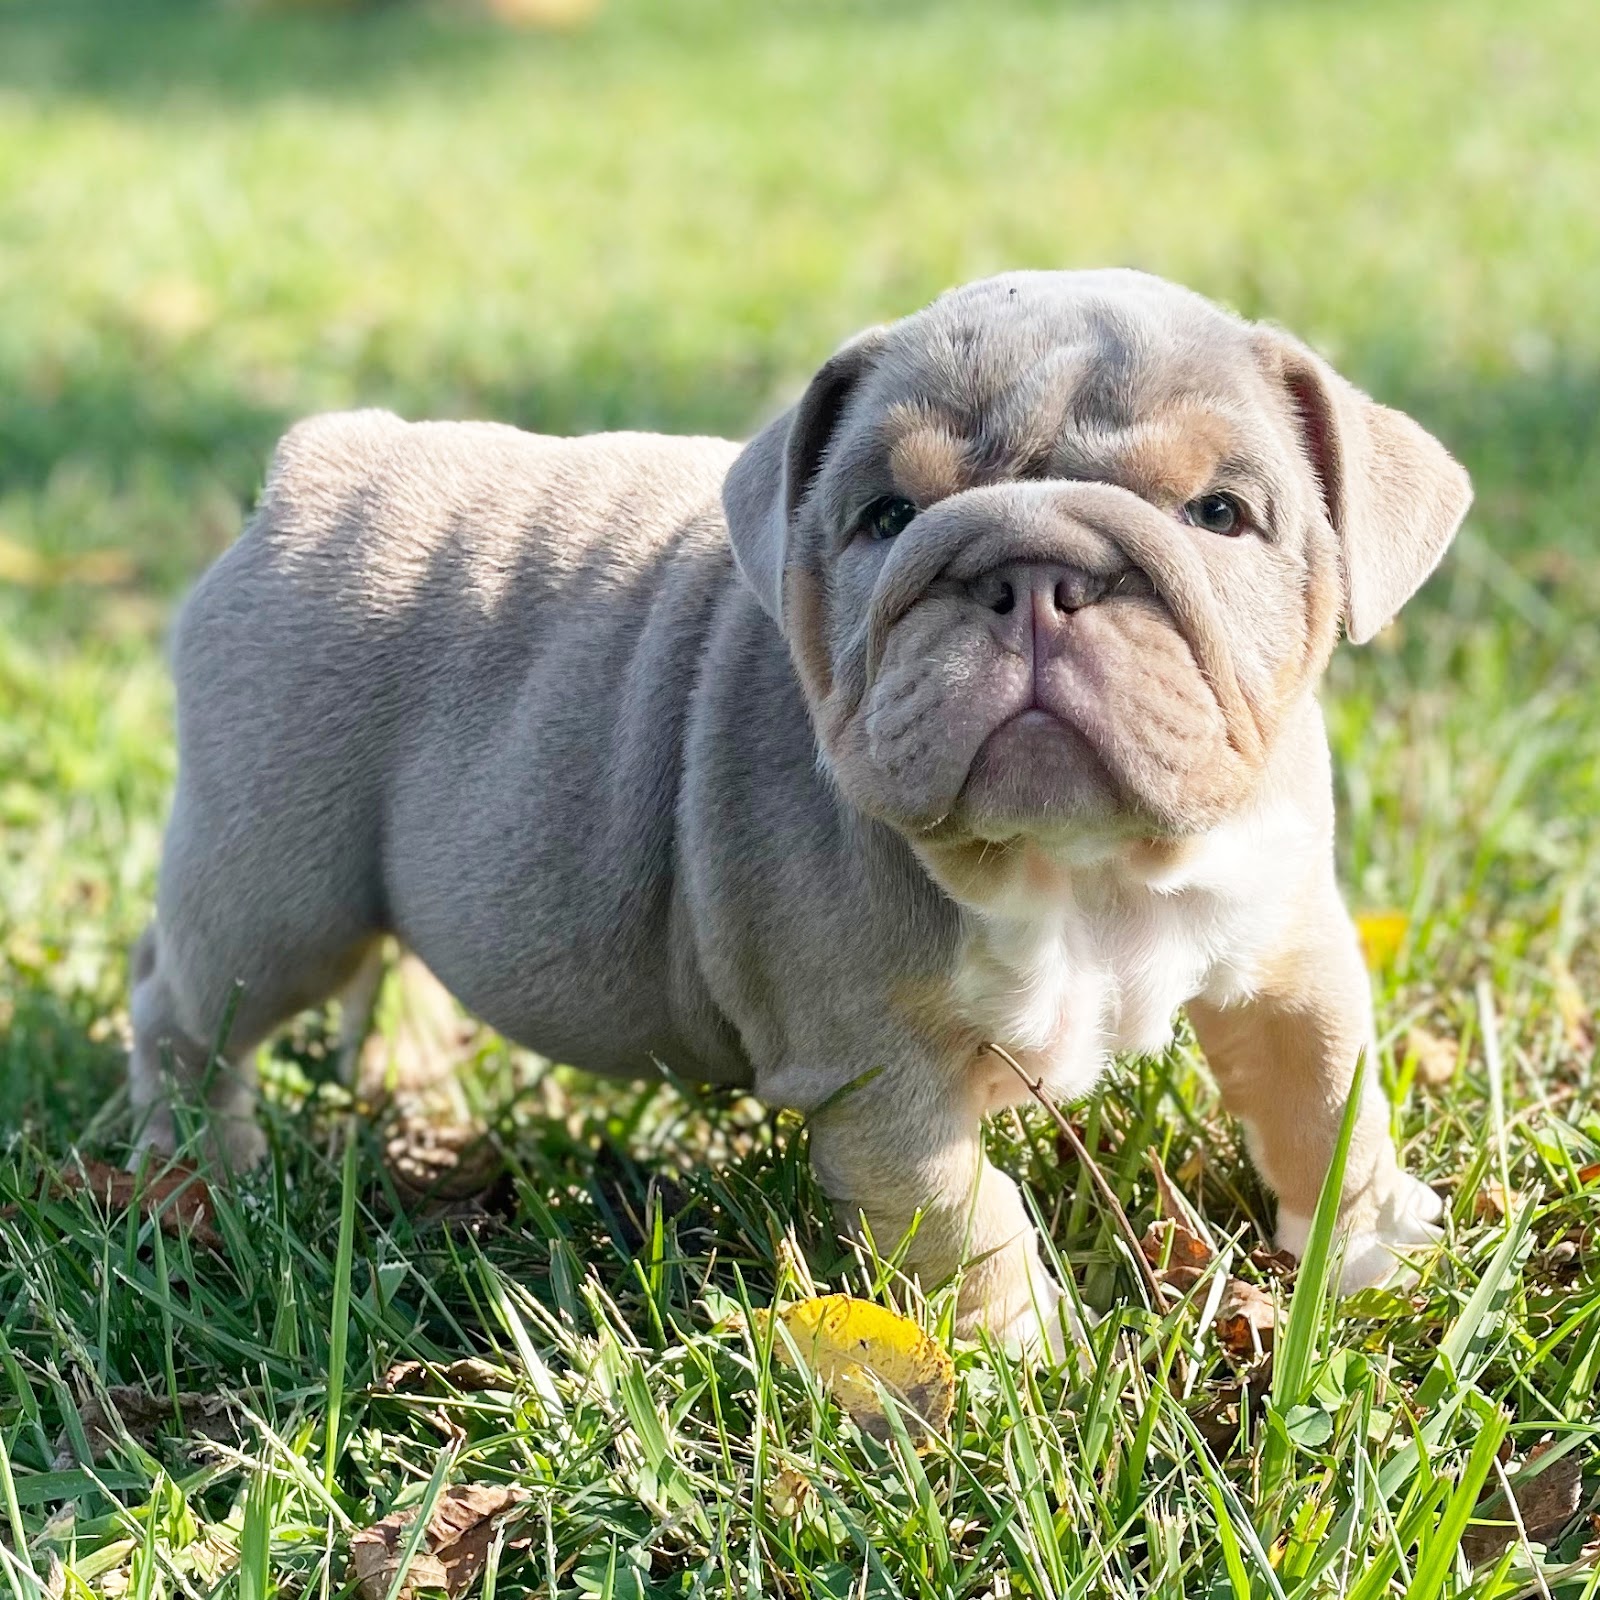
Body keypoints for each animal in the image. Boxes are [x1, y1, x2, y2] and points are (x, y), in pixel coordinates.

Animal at [131, 272, 1465, 1350]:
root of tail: (321, 461)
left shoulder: (1287, 954)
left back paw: (403, 1079)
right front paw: (1021, 1358)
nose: (1029, 573)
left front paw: (1369, 1249)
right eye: (884, 518)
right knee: (186, 1005)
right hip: (274, 890)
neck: (1082, 871)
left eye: (1219, 514)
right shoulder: (878, 1078)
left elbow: (1328, 1101)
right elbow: (963, 1215)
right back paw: (201, 1175)